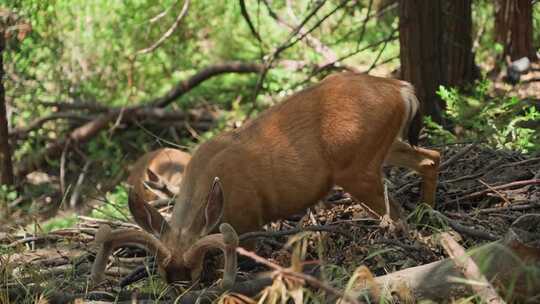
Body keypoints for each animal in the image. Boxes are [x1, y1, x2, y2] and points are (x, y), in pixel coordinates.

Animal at [90, 72, 440, 288]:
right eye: (164, 273)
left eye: (192, 271)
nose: (181, 288)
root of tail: (402, 89)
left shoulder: (249, 220)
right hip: (384, 148)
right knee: (431, 157)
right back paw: (430, 215)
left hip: (357, 166)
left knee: (397, 214)